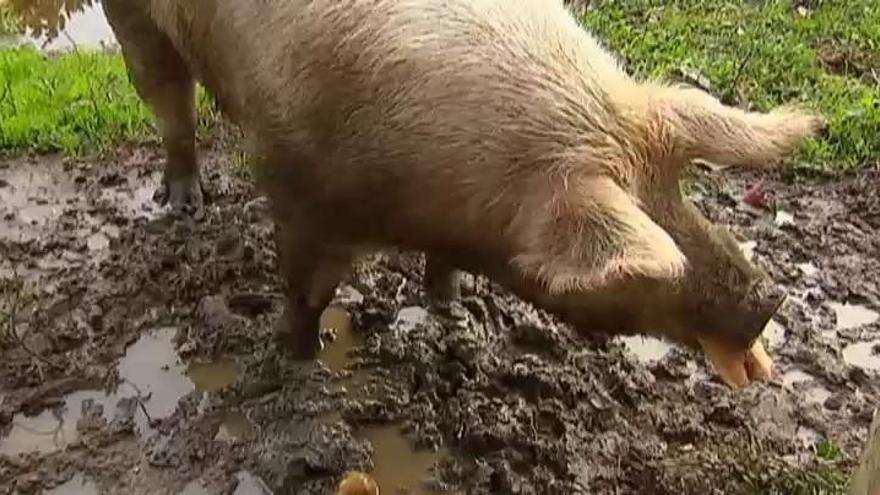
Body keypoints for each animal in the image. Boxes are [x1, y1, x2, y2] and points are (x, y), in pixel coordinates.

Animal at [103, 0, 824, 390]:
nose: (768, 296)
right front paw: (307, 364)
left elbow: (443, 270)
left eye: (678, 191)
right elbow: (307, 292)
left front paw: (458, 309)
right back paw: (185, 203)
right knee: (169, 103)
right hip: (133, 22)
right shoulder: (300, 190)